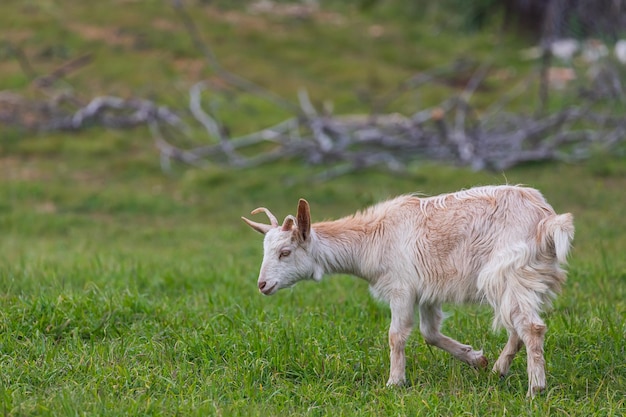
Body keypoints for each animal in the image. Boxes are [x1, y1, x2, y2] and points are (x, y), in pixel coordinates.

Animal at [241, 184, 572, 394]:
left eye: (285, 252)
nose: (262, 285)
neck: (373, 237)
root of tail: (547, 219)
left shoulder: (401, 287)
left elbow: (396, 336)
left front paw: (394, 383)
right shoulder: (427, 290)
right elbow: (430, 333)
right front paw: (475, 359)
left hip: (510, 272)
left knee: (531, 327)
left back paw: (535, 388)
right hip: (517, 279)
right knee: (517, 323)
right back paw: (499, 369)